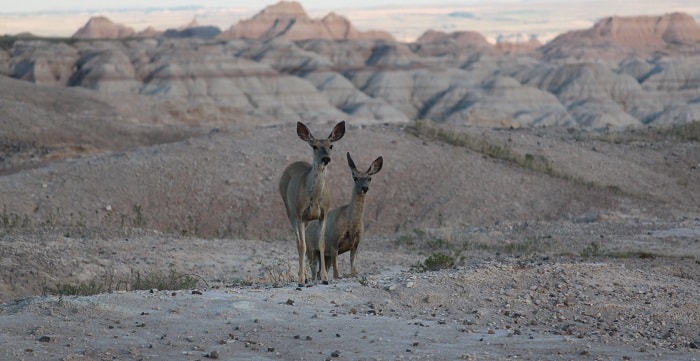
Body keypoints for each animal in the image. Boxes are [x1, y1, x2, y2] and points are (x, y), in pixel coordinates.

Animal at [278, 121, 346, 286]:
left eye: (331, 146)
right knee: (298, 242)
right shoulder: (300, 214)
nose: (326, 158)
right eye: (314, 146)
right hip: (290, 212)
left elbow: (321, 244)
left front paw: (325, 278)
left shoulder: (323, 214)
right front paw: (301, 280)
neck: (314, 198)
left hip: (306, 220)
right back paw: (302, 277)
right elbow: (302, 245)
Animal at [306, 150, 382, 280]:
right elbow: (336, 272)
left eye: (369, 178)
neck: (351, 223)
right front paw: (338, 276)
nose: (365, 188)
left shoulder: (356, 244)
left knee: (320, 271)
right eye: (355, 177)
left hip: (324, 256)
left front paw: (353, 274)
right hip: (311, 249)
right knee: (314, 271)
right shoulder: (334, 240)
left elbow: (354, 267)